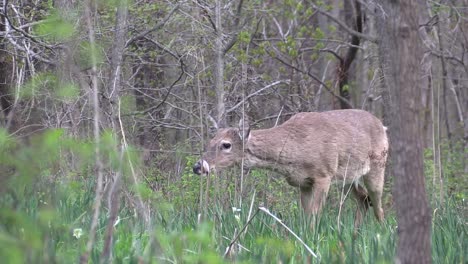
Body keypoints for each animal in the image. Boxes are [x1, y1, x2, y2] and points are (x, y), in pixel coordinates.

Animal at [192, 108, 390, 228]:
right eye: (210, 141)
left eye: (226, 145)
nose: (198, 166)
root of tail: (382, 126)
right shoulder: (303, 182)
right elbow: (306, 215)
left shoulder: (323, 174)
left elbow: (314, 215)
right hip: (347, 177)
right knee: (363, 198)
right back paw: (356, 233)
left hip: (377, 165)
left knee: (378, 205)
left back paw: (381, 233)